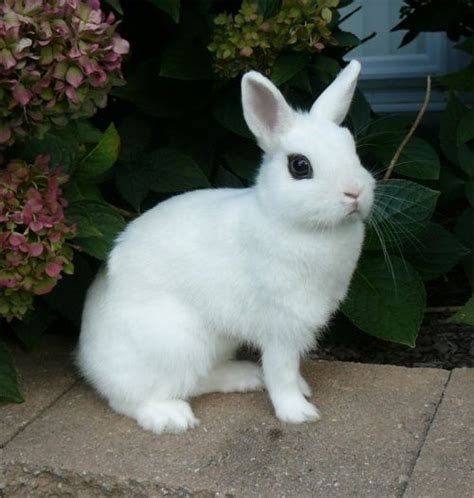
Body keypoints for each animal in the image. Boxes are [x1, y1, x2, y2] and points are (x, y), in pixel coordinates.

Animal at [77, 60, 374, 434]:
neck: (288, 220)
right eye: (300, 166)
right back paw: (171, 417)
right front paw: (298, 412)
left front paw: (302, 391)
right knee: (132, 397)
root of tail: (87, 361)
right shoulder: (281, 324)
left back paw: (244, 377)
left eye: (354, 151)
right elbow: (282, 370)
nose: (355, 193)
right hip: (176, 343)